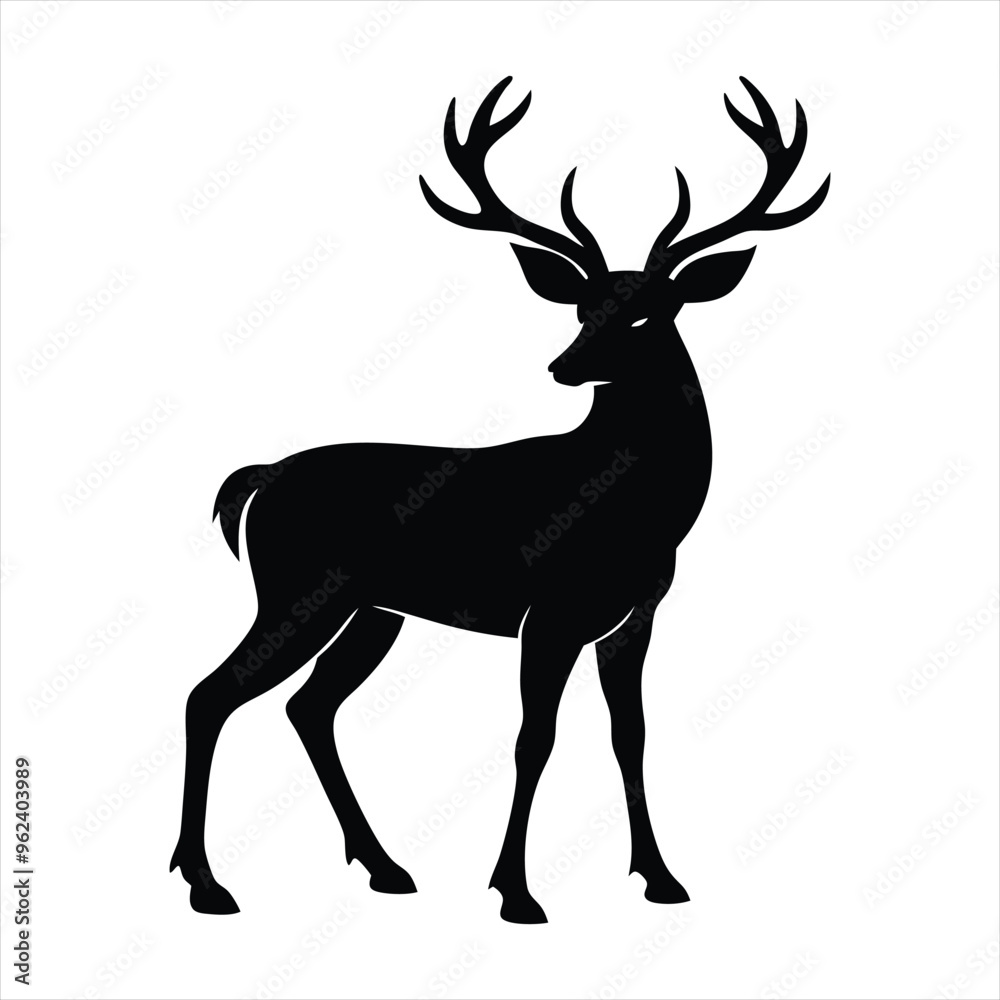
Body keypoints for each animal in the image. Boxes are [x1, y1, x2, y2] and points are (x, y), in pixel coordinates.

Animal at [170, 76, 829, 924]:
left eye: (648, 309)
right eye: (581, 307)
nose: (563, 366)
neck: (638, 512)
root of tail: (259, 477)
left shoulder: (634, 615)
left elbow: (630, 736)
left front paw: (660, 878)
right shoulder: (548, 612)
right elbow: (533, 739)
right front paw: (515, 890)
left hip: (372, 610)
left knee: (308, 708)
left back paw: (385, 867)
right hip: (298, 588)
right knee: (211, 694)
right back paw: (207, 883)